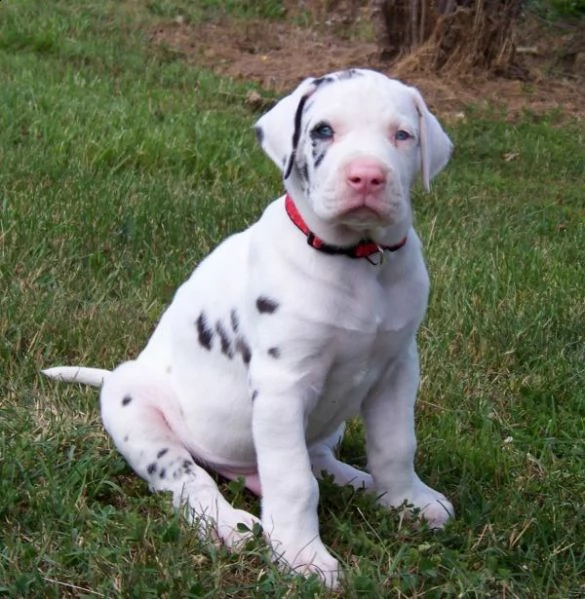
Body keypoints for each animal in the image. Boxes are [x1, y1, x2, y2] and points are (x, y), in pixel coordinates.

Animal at [46, 68, 456, 588]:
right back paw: (228, 524)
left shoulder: (397, 367)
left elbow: (396, 445)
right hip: (138, 413)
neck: (359, 261)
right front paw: (302, 555)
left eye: (402, 135)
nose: (367, 175)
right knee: (188, 480)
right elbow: (294, 481)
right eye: (323, 131)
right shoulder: (283, 385)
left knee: (319, 456)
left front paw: (406, 500)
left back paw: (356, 480)